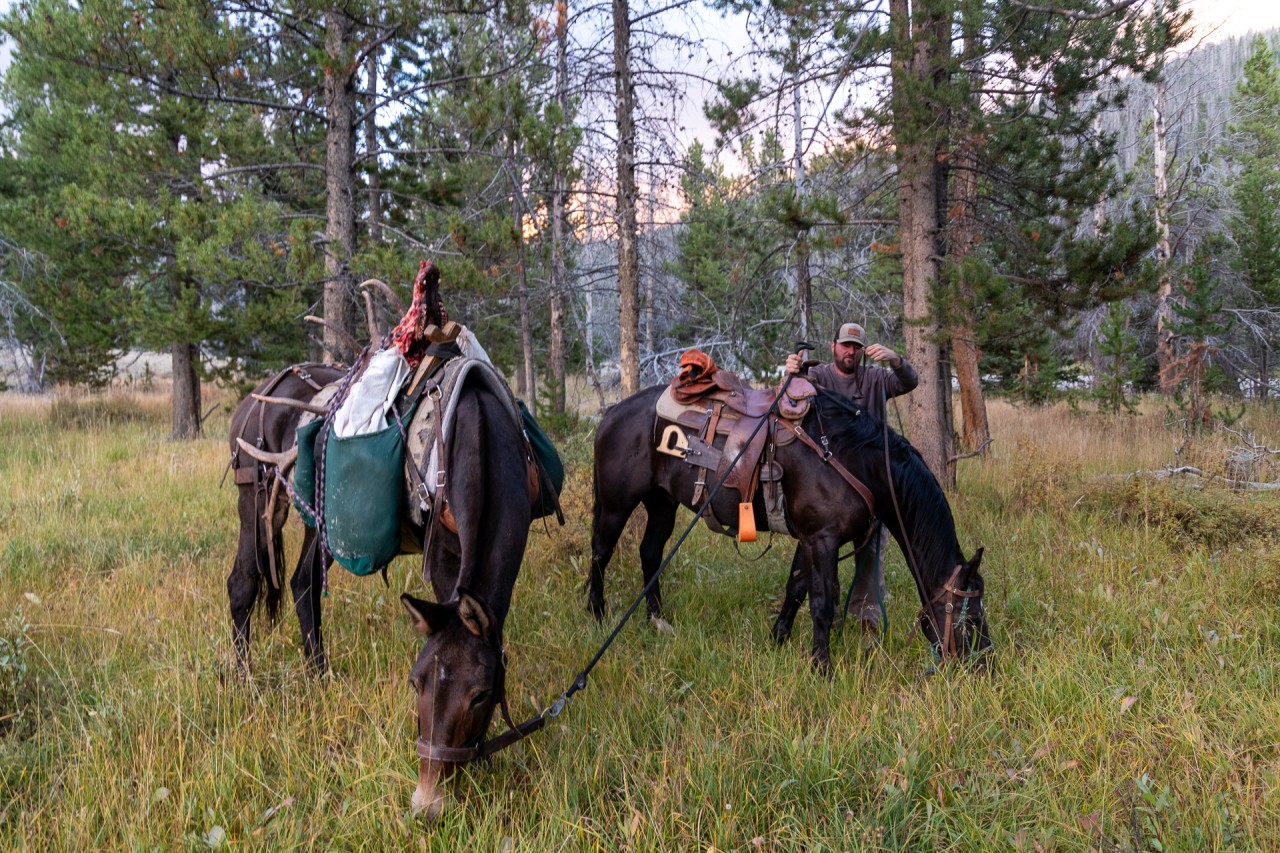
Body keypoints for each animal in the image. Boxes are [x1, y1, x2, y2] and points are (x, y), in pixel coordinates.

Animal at [588, 384, 990, 670]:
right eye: (971, 618)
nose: (984, 665)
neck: (853, 459)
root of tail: (612, 413)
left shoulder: (811, 538)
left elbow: (796, 588)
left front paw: (778, 639)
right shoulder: (822, 539)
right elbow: (822, 603)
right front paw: (822, 668)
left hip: (661, 503)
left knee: (650, 553)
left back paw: (657, 620)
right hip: (616, 504)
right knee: (601, 553)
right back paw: (597, 613)